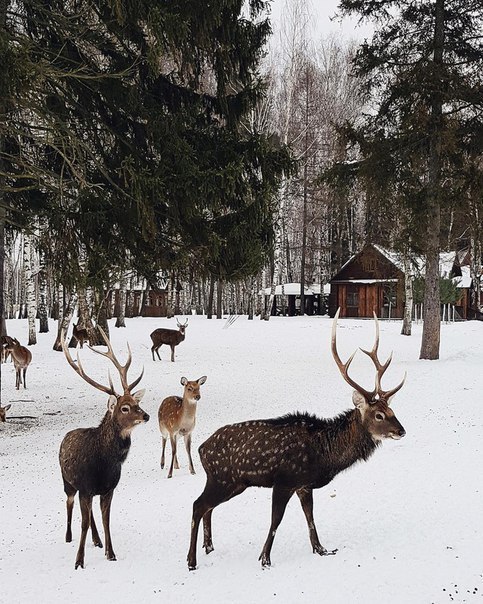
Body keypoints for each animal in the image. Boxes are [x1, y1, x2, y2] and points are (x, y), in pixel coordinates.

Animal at [59, 328, 149, 568]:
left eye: (137, 403)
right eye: (124, 408)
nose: (146, 415)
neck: (104, 464)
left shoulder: (108, 488)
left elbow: (105, 520)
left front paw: (111, 553)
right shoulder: (85, 487)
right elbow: (83, 523)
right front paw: (79, 561)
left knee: (90, 515)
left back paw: (97, 540)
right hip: (67, 482)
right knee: (69, 504)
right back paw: (68, 537)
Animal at [187, 312, 406, 572]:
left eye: (391, 410)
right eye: (379, 415)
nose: (401, 431)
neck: (324, 454)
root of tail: (201, 449)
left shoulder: (304, 485)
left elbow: (310, 517)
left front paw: (321, 549)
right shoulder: (284, 480)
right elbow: (276, 520)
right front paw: (265, 559)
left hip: (231, 483)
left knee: (207, 507)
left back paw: (209, 547)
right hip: (223, 478)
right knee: (198, 505)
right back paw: (191, 561)